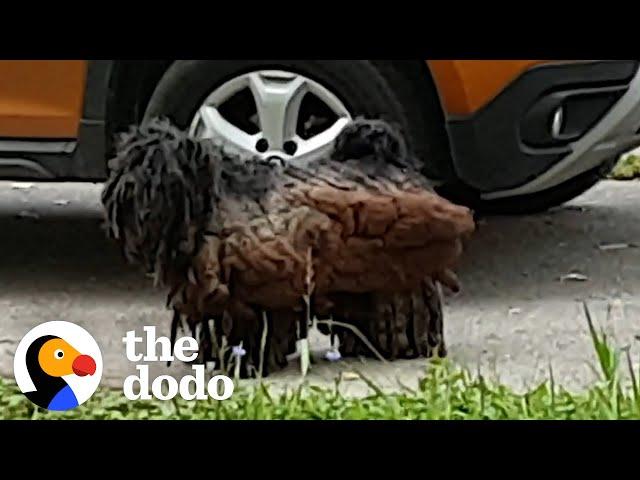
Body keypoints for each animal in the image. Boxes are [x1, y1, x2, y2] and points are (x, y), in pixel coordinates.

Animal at [101, 117, 476, 378]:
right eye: (126, 164)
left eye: (156, 169)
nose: (127, 194)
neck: (217, 199)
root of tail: (394, 161)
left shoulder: (254, 292)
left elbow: (252, 331)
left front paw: (247, 366)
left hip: (402, 272)